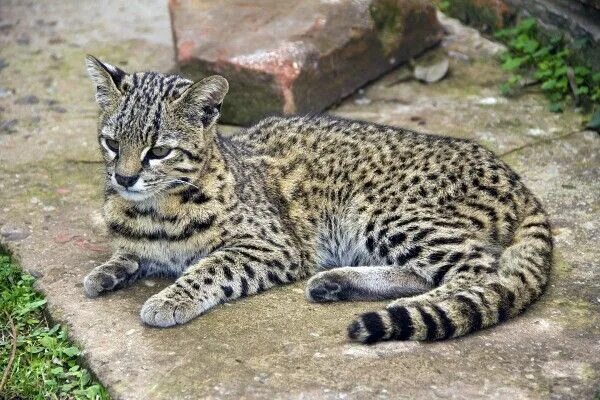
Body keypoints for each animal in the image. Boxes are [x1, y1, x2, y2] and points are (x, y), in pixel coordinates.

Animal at [82, 56, 552, 344]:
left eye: (159, 150)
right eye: (111, 143)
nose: (123, 177)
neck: (155, 210)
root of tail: (517, 179)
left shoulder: (272, 246)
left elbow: (211, 266)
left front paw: (170, 298)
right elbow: (129, 251)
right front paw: (110, 269)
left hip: (383, 211)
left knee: (478, 270)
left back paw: (408, 304)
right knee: (430, 271)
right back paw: (337, 281)